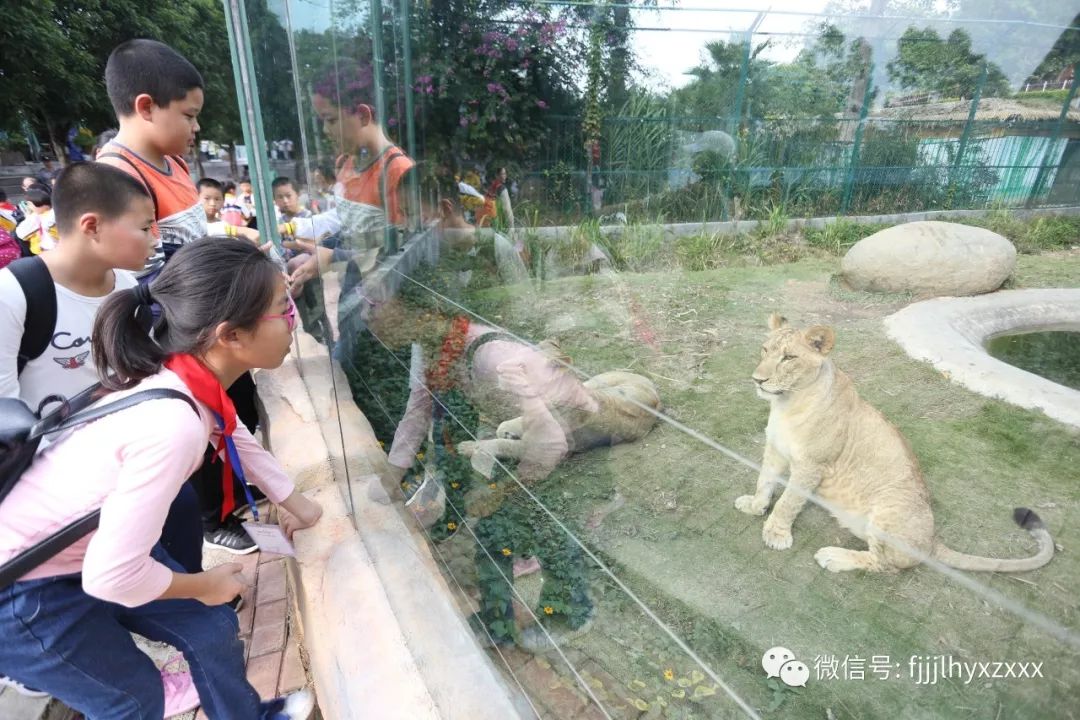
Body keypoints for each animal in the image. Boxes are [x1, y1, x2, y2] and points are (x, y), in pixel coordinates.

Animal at [734, 315, 1054, 574]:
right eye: (765, 350)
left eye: (789, 357)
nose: (757, 380)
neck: (787, 403)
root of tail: (932, 541)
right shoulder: (775, 449)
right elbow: (764, 481)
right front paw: (754, 505)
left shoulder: (811, 466)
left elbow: (788, 502)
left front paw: (776, 534)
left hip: (888, 510)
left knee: (885, 564)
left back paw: (834, 556)